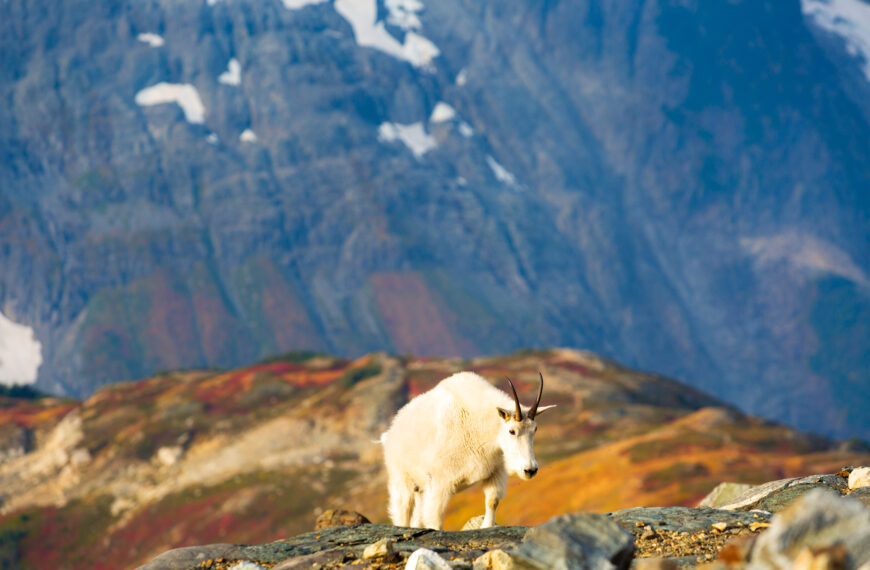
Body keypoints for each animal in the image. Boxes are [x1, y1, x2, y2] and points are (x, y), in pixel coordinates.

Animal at [380, 371, 555, 530]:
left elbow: (492, 501)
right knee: (403, 511)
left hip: (420, 487)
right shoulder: (440, 482)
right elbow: (435, 518)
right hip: (402, 479)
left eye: (535, 429)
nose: (530, 470)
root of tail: (390, 432)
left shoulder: (496, 471)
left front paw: (486, 526)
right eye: (511, 431)